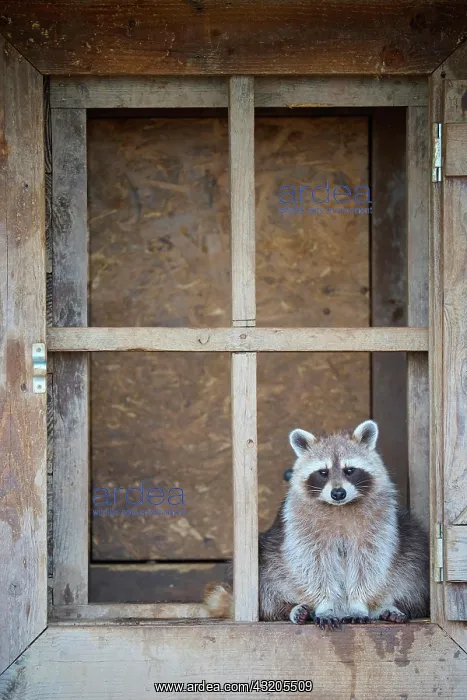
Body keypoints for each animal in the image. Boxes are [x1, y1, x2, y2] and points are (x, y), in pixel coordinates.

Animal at [206, 420, 429, 629]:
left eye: (350, 470)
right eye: (323, 472)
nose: (338, 493)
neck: (340, 506)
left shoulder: (380, 523)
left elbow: (369, 563)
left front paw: (358, 603)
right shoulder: (300, 527)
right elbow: (314, 565)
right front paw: (325, 605)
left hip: (411, 549)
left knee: (412, 565)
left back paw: (388, 607)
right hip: (268, 559)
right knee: (267, 586)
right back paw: (291, 609)